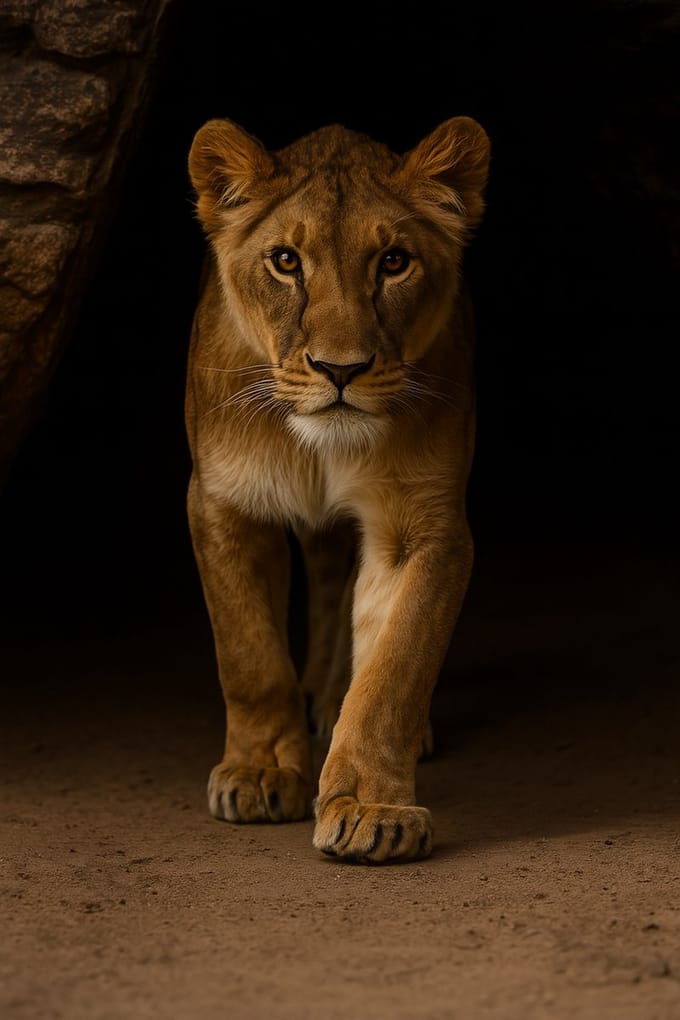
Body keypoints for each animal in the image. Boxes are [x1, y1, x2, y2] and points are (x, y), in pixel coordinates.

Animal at [185, 115, 490, 862]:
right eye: (286, 261)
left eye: (394, 262)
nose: (340, 369)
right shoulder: (224, 503)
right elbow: (250, 654)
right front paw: (261, 773)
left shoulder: (423, 525)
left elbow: (394, 674)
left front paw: (372, 809)